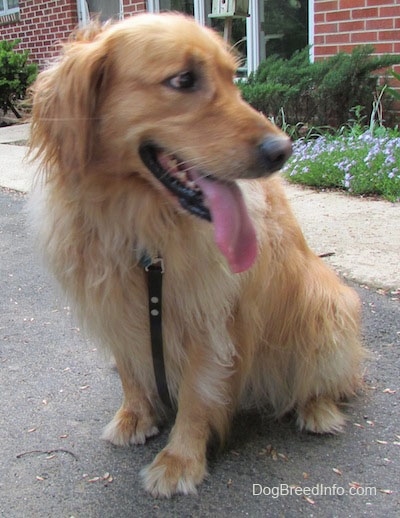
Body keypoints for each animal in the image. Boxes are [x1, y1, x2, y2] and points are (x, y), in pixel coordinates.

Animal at [29, 13, 364, 500]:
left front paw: (180, 459)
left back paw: (317, 410)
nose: (283, 150)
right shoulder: (117, 307)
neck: (142, 225)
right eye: (184, 80)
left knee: (327, 379)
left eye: (232, 78)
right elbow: (130, 368)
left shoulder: (211, 316)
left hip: (327, 304)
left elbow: (196, 394)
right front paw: (136, 414)